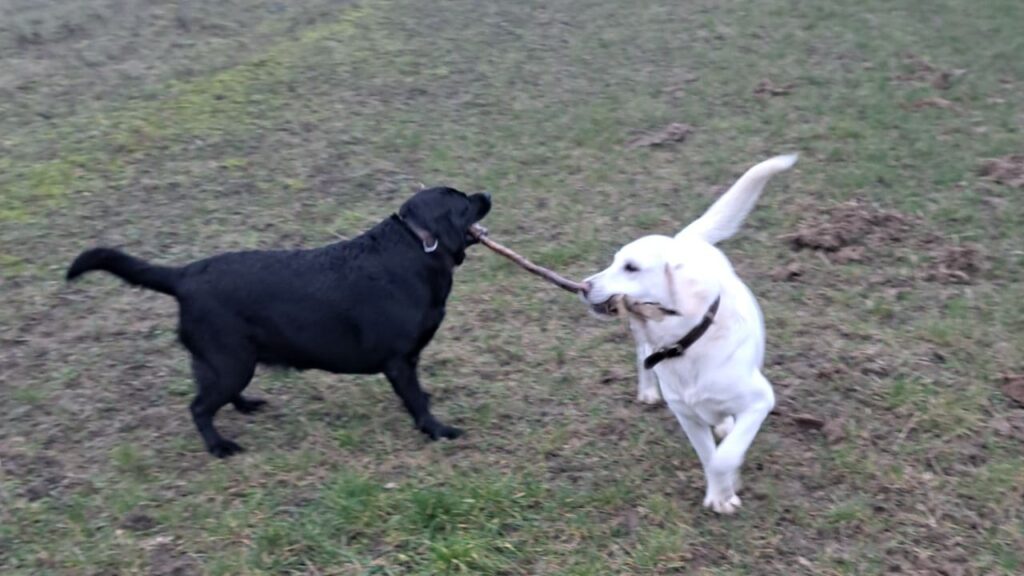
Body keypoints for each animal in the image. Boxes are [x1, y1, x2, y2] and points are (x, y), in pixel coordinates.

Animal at [68, 188, 491, 457]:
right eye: (464, 201)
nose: (486, 194)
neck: (417, 245)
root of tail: (184, 275)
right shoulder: (399, 361)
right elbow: (416, 400)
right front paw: (438, 430)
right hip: (231, 362)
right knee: (199, 408)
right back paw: (219, 447)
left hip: (227, 362)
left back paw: (246, 406)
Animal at [581, 152, 794, 510]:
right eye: (614, 262)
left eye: (631, 267)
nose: (584, 286)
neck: (688, 344)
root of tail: (686, 240)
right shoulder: (685, 413)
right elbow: (709, 457)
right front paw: (720, 495)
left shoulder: (760, 401)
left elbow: (724, 457)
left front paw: (728, 485)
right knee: (642, 356)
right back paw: (649, 390)